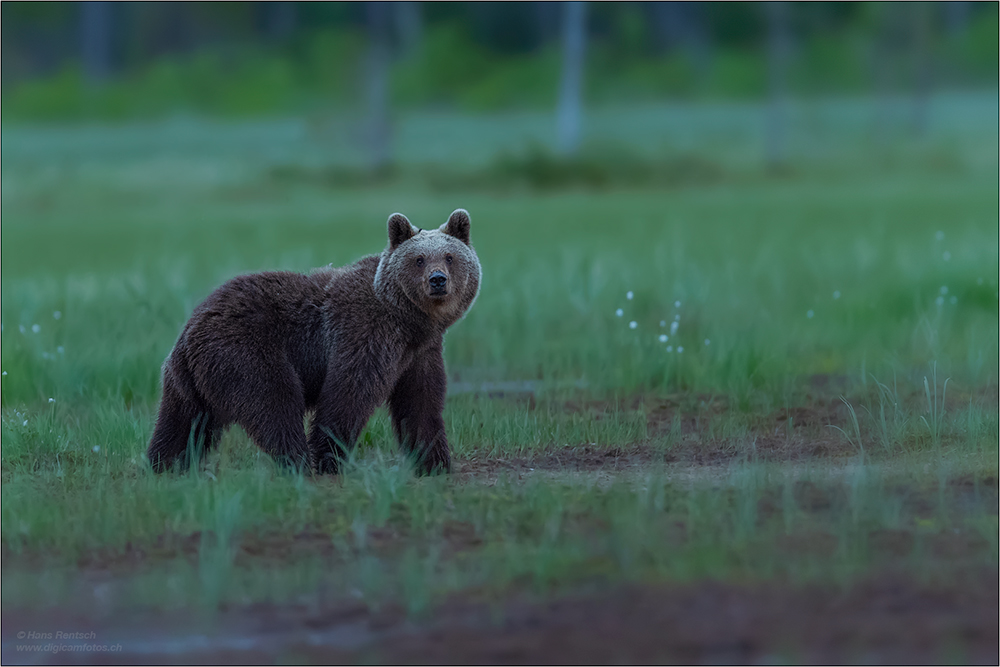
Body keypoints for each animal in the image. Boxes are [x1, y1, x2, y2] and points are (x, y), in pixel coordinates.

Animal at [144, 209, 480, 474]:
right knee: (275, 402)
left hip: (189, 379)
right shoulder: (363, 333)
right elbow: (348, 393)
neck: (406, 320)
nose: (438, 280)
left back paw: (162, 465)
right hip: (245, 350)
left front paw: (436, 463)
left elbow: (421, 403)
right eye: (419, 259)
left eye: (450, 257)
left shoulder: (420, 352)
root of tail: (190, 327)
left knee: (183, 421)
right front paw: (330, 458)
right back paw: (297, 462)